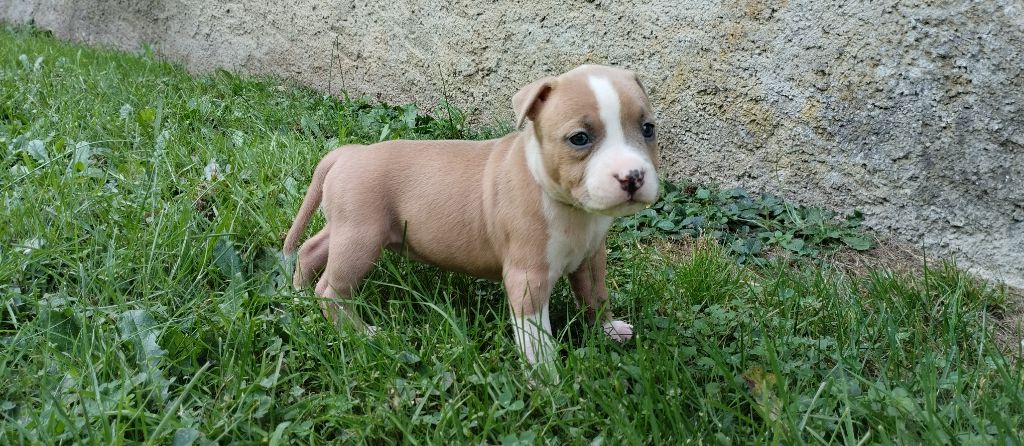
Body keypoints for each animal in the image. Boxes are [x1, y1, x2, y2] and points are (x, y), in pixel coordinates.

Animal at [283, 64, 659, 365]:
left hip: (347, 227)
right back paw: (361, 333)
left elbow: (596, 297)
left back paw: (298, 294)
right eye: (579, 138)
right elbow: (536, 337)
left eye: (648, 129)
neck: (569, 207)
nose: (633, 176)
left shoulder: (591, 258)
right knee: (332, 289)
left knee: (312, 249)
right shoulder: (528, 277)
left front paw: (609, 330)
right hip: (360, 239)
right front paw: (547, 380)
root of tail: (348, 153)